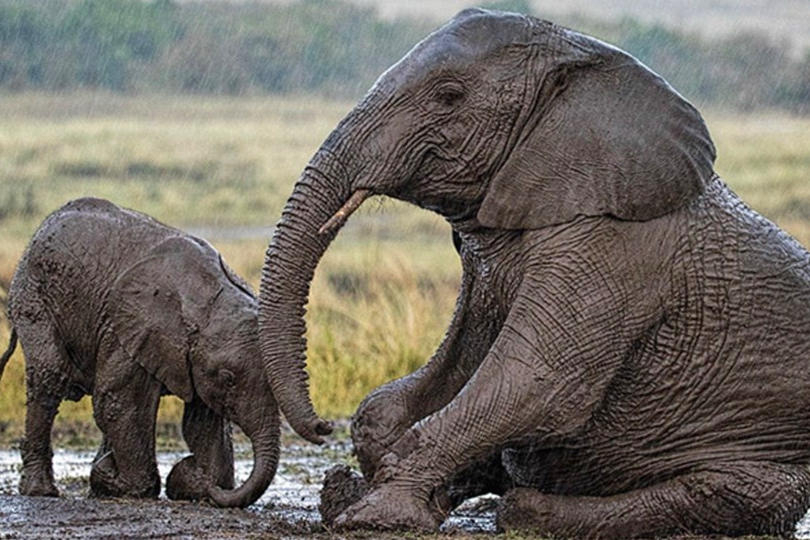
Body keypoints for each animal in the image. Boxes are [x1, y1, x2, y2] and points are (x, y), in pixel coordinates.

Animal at [0, 197, 280, 506]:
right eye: (228, 378)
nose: (193, 469)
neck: (209, 297)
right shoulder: (131, 329)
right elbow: (119, 403)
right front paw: (123, 480)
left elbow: (203, 423)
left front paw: (196, 481)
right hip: (33, 296)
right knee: (49, 377)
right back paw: (43, 491)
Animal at [262, 8, 808, 540]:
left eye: (449, 97)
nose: (320, 428)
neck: (583, 59)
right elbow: (430, 382)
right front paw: (364, 492)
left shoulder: (612, 249)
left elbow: (534, 382)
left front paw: (376, 515)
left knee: (721, 493)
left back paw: (527, 510)